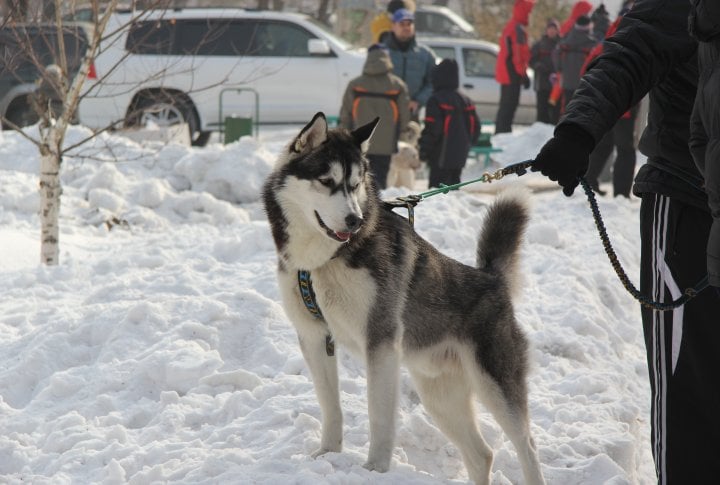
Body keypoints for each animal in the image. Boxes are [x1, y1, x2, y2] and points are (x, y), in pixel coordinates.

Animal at [264, 112, 544, 484]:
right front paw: (327, 454)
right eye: (326, 181)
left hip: (495, 385)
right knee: (481, 454)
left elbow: (379, 414)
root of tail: (491, 278)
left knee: (527, 445)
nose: (355, 220)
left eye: (355, 184)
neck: (322, 261)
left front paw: (375, 470)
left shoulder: (380, 340)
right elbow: (330, 406)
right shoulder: (313, 337)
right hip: (438, 394)